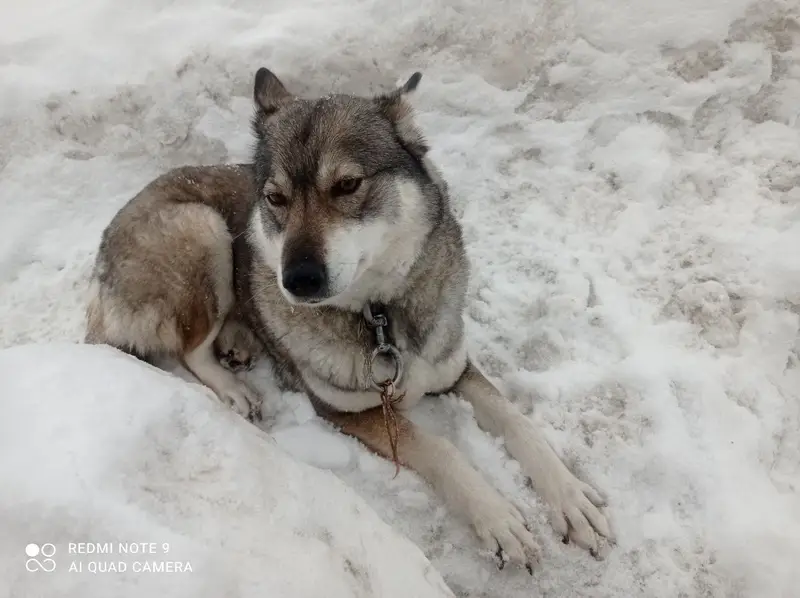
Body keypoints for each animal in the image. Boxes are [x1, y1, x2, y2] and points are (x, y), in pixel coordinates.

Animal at [85, 67, 614, 572]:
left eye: (346, 185)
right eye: (276, 198)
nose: (296, 279)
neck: (379, 316)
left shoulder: (454, 369)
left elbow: (518, 423)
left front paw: (570, 498)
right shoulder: (348, 411)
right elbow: (441, 449)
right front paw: (498, 517)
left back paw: (241, 339)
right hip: (203, 229)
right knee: (191, 347)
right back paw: (234, 387)